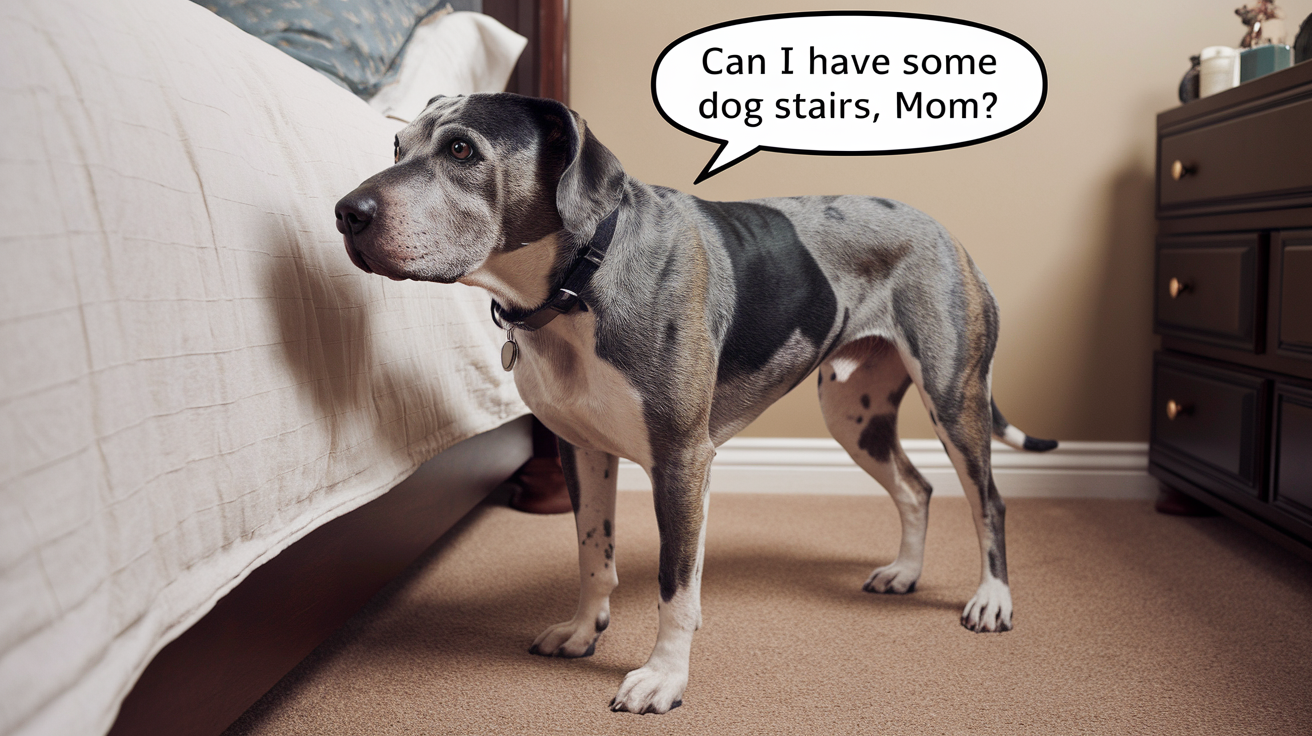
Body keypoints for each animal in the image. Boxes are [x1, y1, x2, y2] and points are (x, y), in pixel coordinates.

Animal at [335, 90, 1054, 713]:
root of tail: (943, 231)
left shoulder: (681, 460)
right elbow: (593, 555)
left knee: (988, 501)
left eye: (461, 150)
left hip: (953, 398)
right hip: (854, 415)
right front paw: (583, 629)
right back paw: (904, 571)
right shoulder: (583, 452)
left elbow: (674, 586)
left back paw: (992, 598)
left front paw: (663, 677)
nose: (346, 212)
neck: (576, 284)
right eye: (397, 147)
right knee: (915, 487)